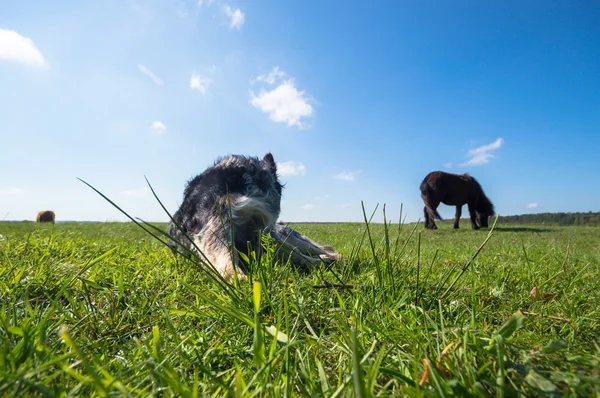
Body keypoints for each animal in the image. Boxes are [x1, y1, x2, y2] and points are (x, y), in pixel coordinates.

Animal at [168, 152, 342, 280]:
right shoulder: (216, 224)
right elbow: (224, 252)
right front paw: (237, 277)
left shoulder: (264, 229)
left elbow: (293, 252)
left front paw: (319, 262)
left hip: (289, 236)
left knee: (316, 248)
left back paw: (333, 257)